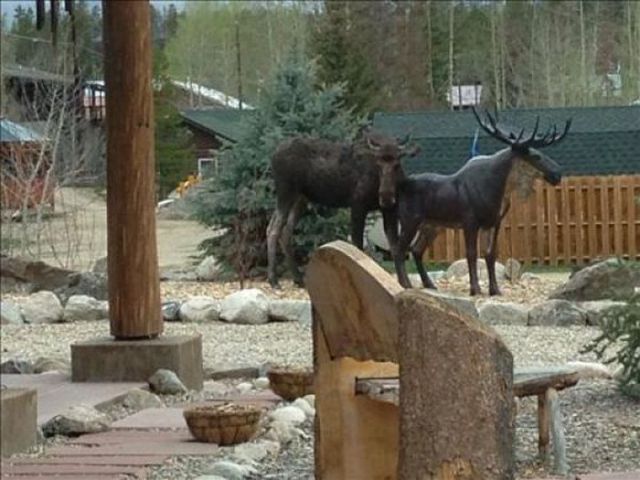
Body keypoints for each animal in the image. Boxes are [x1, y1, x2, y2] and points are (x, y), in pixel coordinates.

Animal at [392, 108, 572, 296]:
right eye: (536, 156)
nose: (557, 173)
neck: (499, 190)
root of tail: (400, 186)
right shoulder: (469, 221)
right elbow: (471, 253)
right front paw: (475, 289)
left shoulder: (494, 222)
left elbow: (490, 254)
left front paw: (495, 290)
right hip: (410, 220)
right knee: (398, 250)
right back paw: (405, 284)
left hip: (432, 225)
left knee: (416, 250)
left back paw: (429, 284)